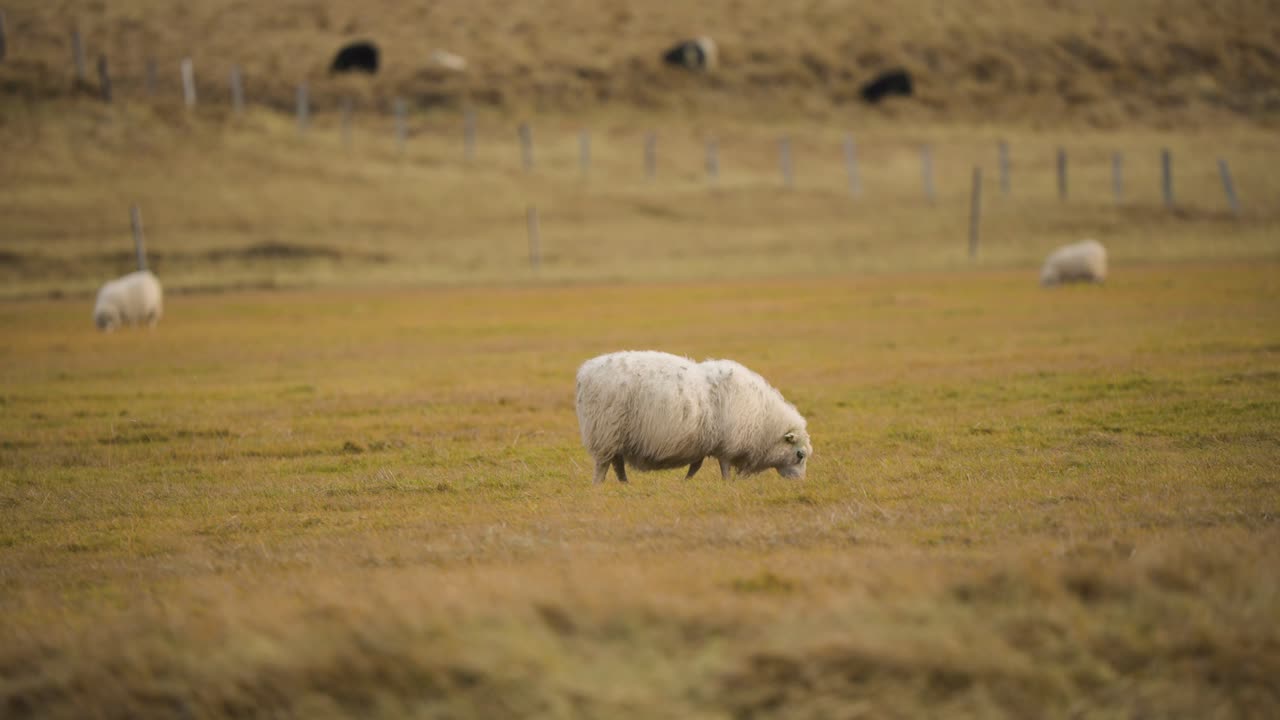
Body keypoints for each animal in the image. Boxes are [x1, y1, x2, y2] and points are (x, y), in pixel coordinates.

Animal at [575, 350, 812, 484]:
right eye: (799, 455)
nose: (799, 483)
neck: (764, 419)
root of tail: (585, 372)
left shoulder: (704, 444)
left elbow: (695, 467)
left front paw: (686, 482)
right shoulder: (728, 445)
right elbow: (724, 467)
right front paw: (727, 484)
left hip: (616, 436)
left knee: (617, 463)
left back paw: (625, 484)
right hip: (605, 430)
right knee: (603, 465)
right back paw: (598, 485)